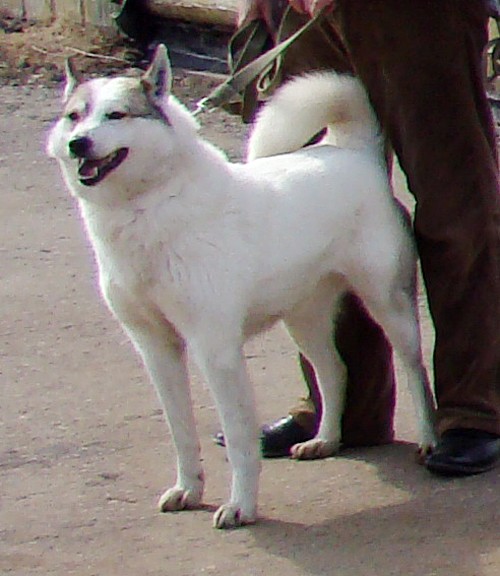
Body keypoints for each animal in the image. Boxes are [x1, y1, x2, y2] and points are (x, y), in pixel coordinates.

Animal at [47, 44, 436, 529]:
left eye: (116, 115)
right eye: (75, 117)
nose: (77, 143)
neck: (149, 203)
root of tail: (353, 151)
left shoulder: (216, 351)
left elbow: (237, 440)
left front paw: (241, 506)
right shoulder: (156, 350)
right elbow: (180, 432)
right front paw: (188, 489)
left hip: (389, 305)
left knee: (415, 371)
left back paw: (431, 440)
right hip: (303, 319)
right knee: (335, 371)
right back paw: (325, 440)